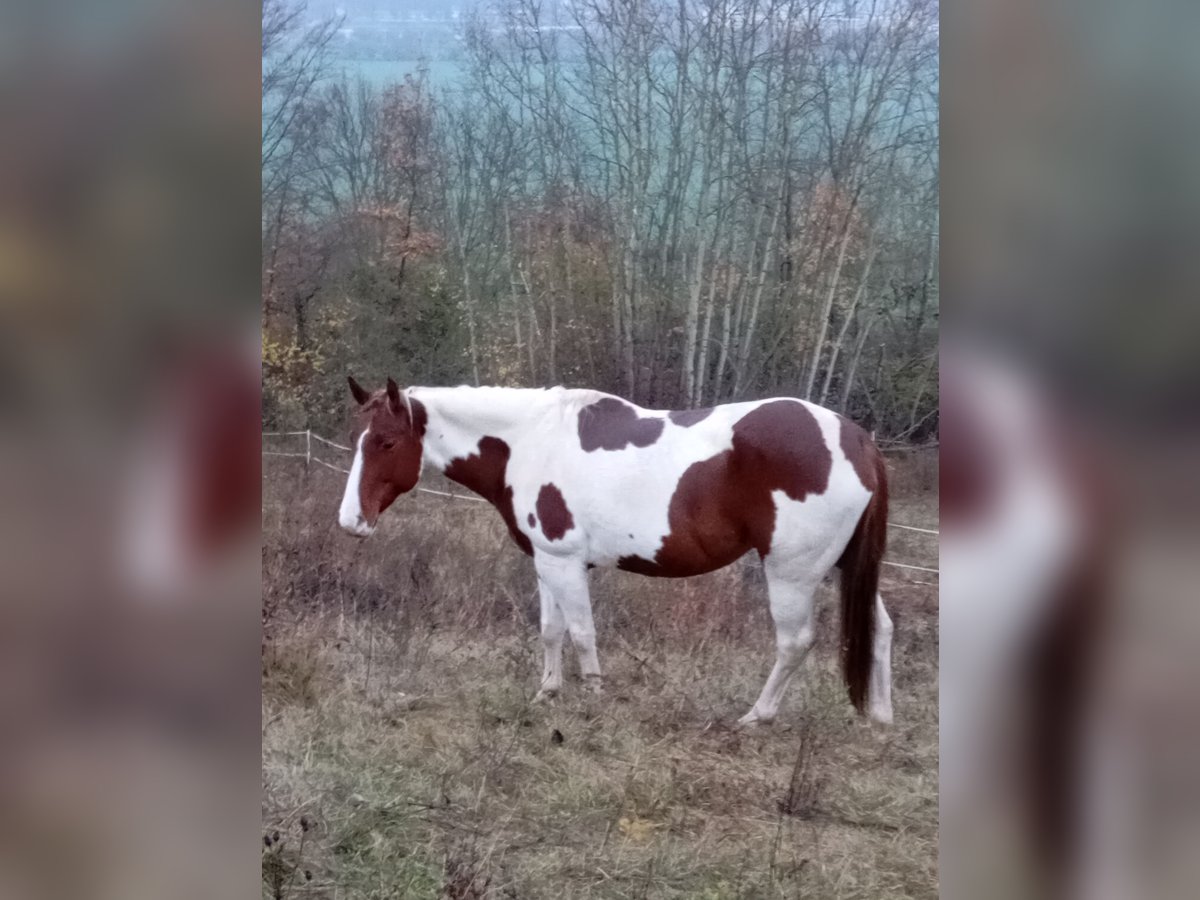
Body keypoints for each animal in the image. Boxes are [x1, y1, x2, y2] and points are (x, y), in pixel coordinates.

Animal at [338, 376, 892, 729]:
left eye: (386, 442)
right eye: (359, 438)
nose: (350, 522)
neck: (529, 441)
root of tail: (857, 439)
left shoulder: (564, 562)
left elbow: (582, 633)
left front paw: (593, 700)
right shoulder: (546, 561)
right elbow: (551, 630)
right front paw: (548, 693)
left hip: (792, 574)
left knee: (795, 643)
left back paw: (758, 716)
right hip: (843, 566)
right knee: (881, 629)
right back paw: (880, 717)